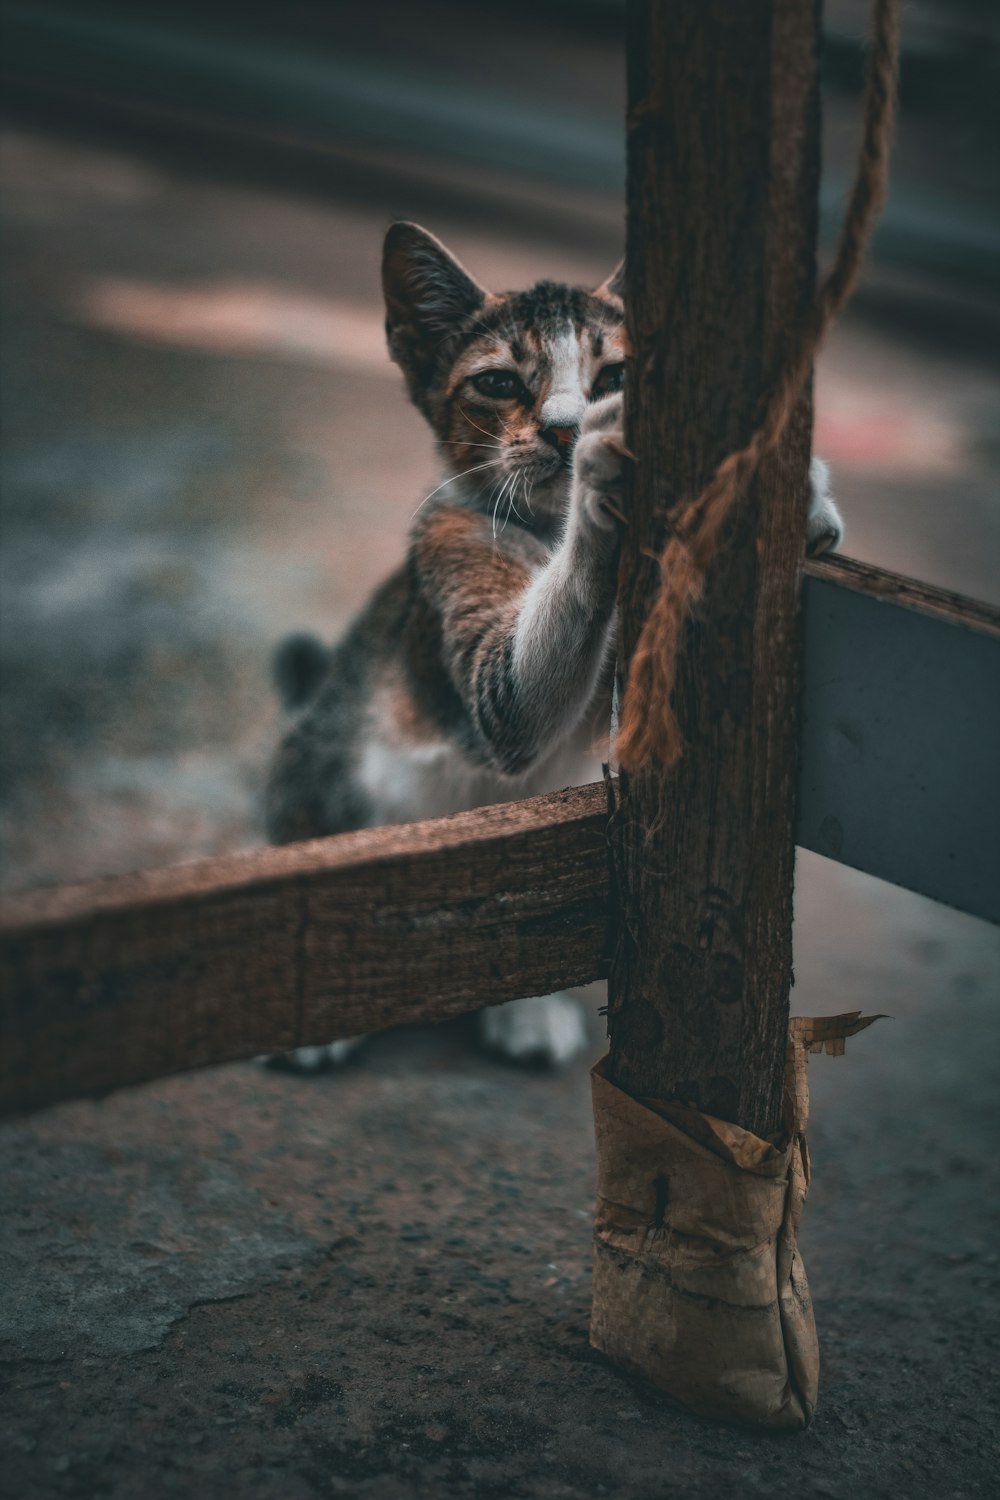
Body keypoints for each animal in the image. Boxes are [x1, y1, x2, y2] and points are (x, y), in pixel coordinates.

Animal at [265, 219, 845, 1068]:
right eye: (500, 383)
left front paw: (800, 495)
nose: (568, 428)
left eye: (617, 372)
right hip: (330, 772)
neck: (540, 528)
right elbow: (515, 686)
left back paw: (527, 1011)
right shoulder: (454, 580)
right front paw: (601, 485)